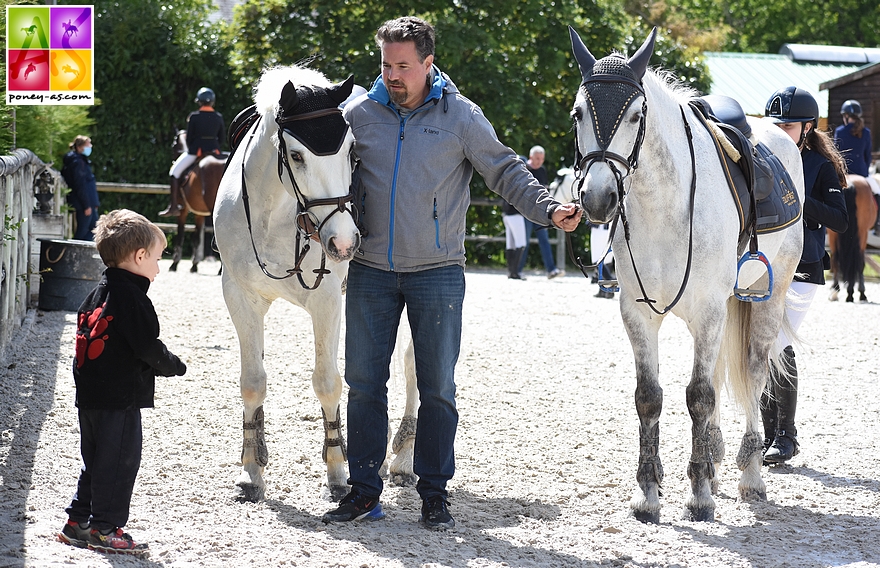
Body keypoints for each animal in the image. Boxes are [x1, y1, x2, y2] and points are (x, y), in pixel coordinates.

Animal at [168, 133, 223, 276]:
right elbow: (197, 237)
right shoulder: (200, 213)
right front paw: (194, 265)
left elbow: (180, 234)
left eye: (173, 145)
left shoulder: (183, 210)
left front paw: (174, 264)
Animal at [214, 65, 420, 502]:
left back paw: (403, 461)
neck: (275, 215)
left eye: (352, 153)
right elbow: (252, 382)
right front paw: (252, 470)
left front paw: (338, 473)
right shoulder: (240, 297)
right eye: (296, 155)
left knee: (413, 368)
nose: (343, 242)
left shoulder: (326, 301)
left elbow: (328, 382)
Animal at [572, 27, 804, 524]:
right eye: (578, 112)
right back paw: (715, 459)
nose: (598, 198)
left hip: (766, 298)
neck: (663, 205)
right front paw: (648, 491)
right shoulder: (639, 315)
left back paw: (750, 472)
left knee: (754, 374)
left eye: (636, 114)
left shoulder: (710, 313)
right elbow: (650, 396)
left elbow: (699, 395)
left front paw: (698, 494)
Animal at [828, 174, 876, 302]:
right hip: (862, 232)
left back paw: (837, 291)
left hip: (833, 232)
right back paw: (853, 293)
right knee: (858, 260)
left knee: (835, 259)